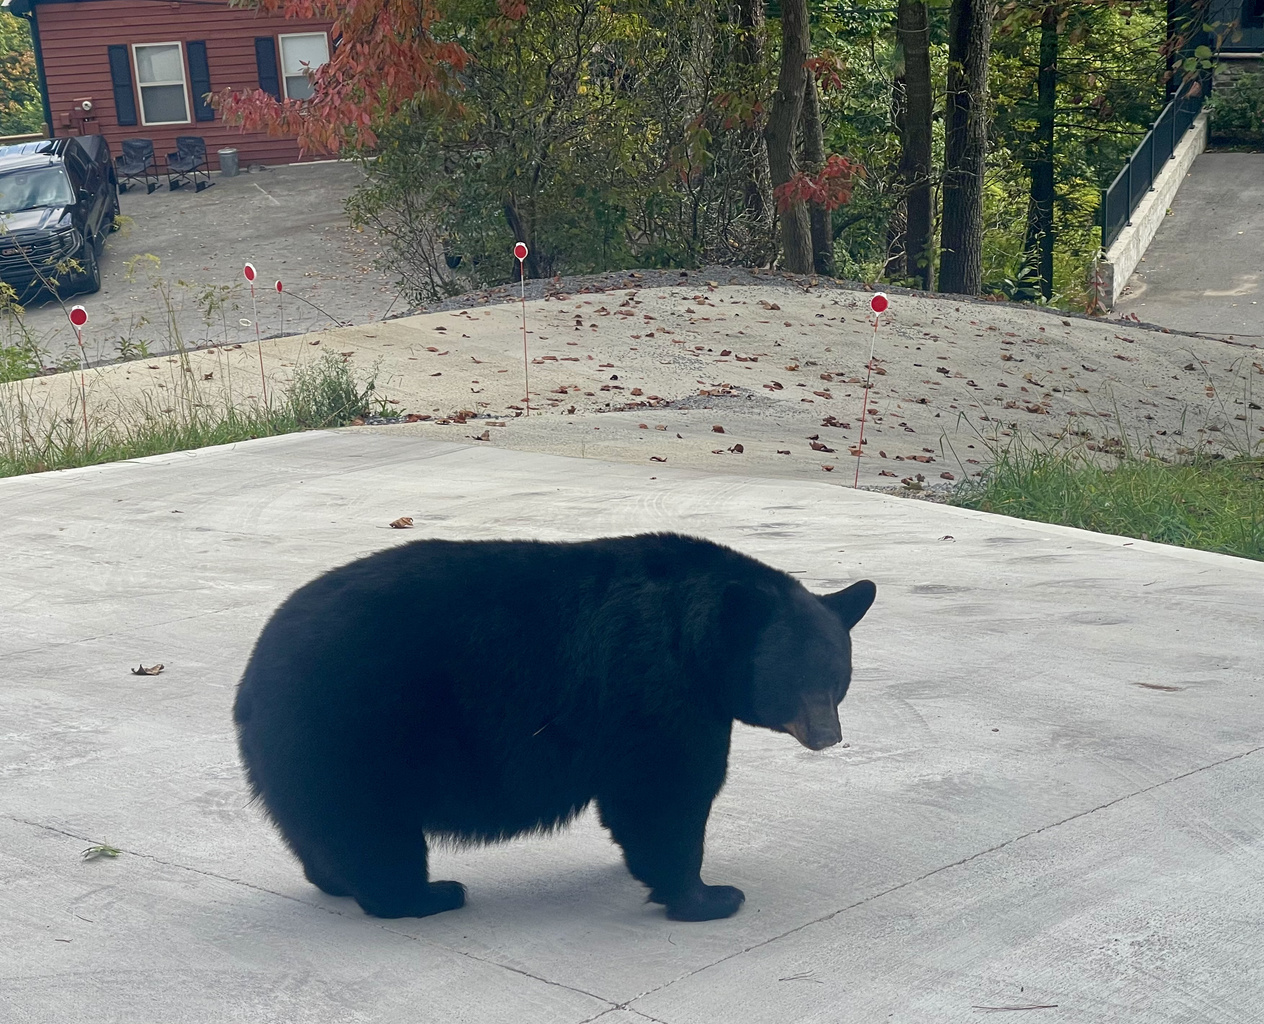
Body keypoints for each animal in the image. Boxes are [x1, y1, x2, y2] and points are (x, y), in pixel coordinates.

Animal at [233, 532, 875, 922]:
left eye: (837, 676)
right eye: (794, 679)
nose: (828, 736)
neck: (694, 637)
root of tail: (252, 675)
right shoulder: (652, 687)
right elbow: (666, 792)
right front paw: (709, 896)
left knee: (320, 826)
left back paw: (337, 881)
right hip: (356, 726)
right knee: (372, 828)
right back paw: (425, 895)